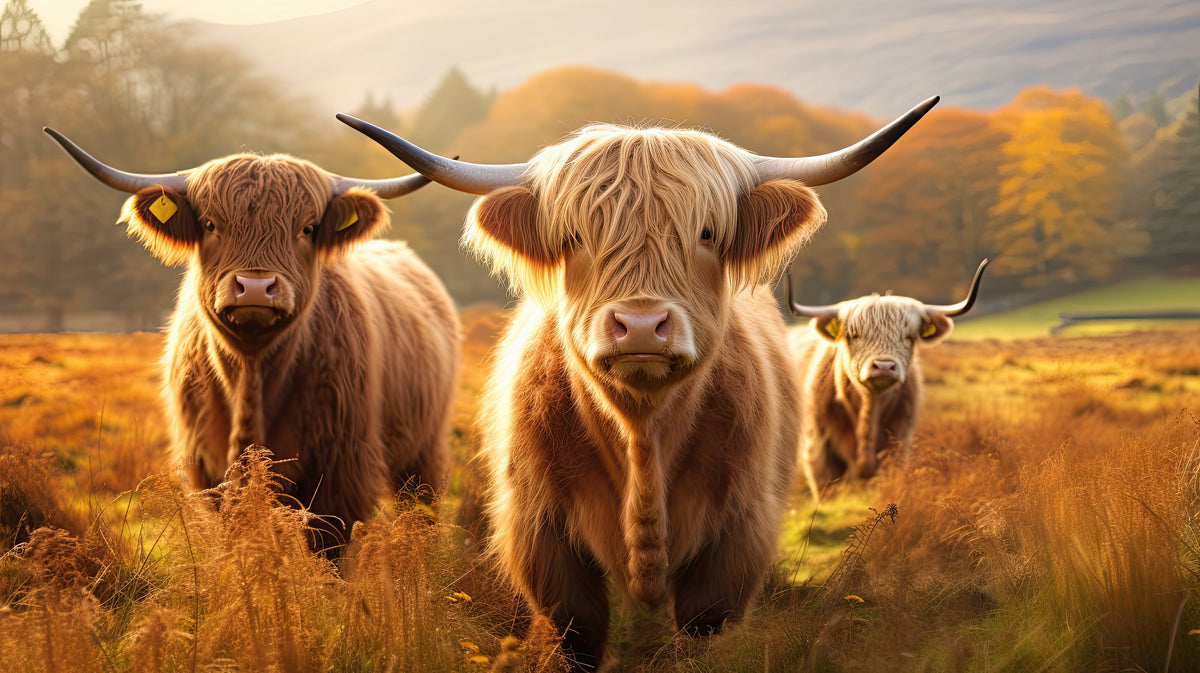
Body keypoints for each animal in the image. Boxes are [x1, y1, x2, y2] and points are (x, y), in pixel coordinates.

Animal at [44, 129, 461, 552]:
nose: (256, 287)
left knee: (420, 506)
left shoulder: (339, 475)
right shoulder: (209, 472)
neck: (251, 373)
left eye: (307, 228)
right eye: (210, 224)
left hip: (423, 450)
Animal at [337, 97, 937, 670]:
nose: (642, 325)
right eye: (574, 236)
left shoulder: (737, 532)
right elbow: (577, 629)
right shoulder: (543, 534)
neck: (642, 436)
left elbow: (701, 627)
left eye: (706, 233)